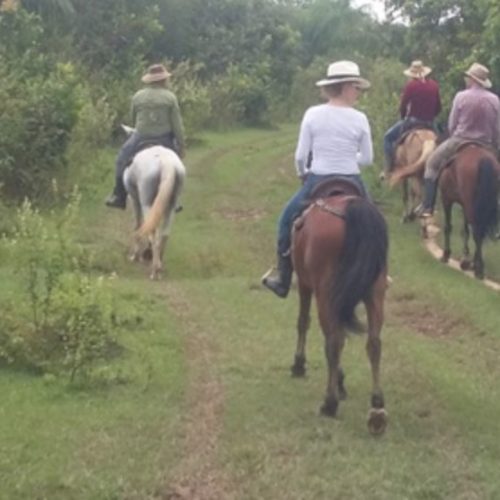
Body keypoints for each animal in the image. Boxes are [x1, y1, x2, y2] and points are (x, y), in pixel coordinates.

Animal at [123, 133, 186, 282]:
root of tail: (166, 164)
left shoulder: (135, 199)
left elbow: (137, 224)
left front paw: (136, 255)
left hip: (146, 203)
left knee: (153, 233)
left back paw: (154, 271)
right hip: (170, 206)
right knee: (164, 234)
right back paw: (159, 265)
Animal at [290, 180, 390, 434]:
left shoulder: (305, 284)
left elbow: (303, 322)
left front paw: (299, 365)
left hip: (325, 292)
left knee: (333, 342)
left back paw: (329, 403)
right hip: (375, 290)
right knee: (374, 343)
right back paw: (377, 407)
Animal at [440, 144, 498, 282]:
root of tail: (484, 159)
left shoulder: (446, 199)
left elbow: (448, 227)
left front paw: (446, 254)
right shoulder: (465, 205)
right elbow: (465, 231)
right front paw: (466, 259)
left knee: (477, 233)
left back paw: (479, 269)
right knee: (480, 233)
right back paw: (475, 265)